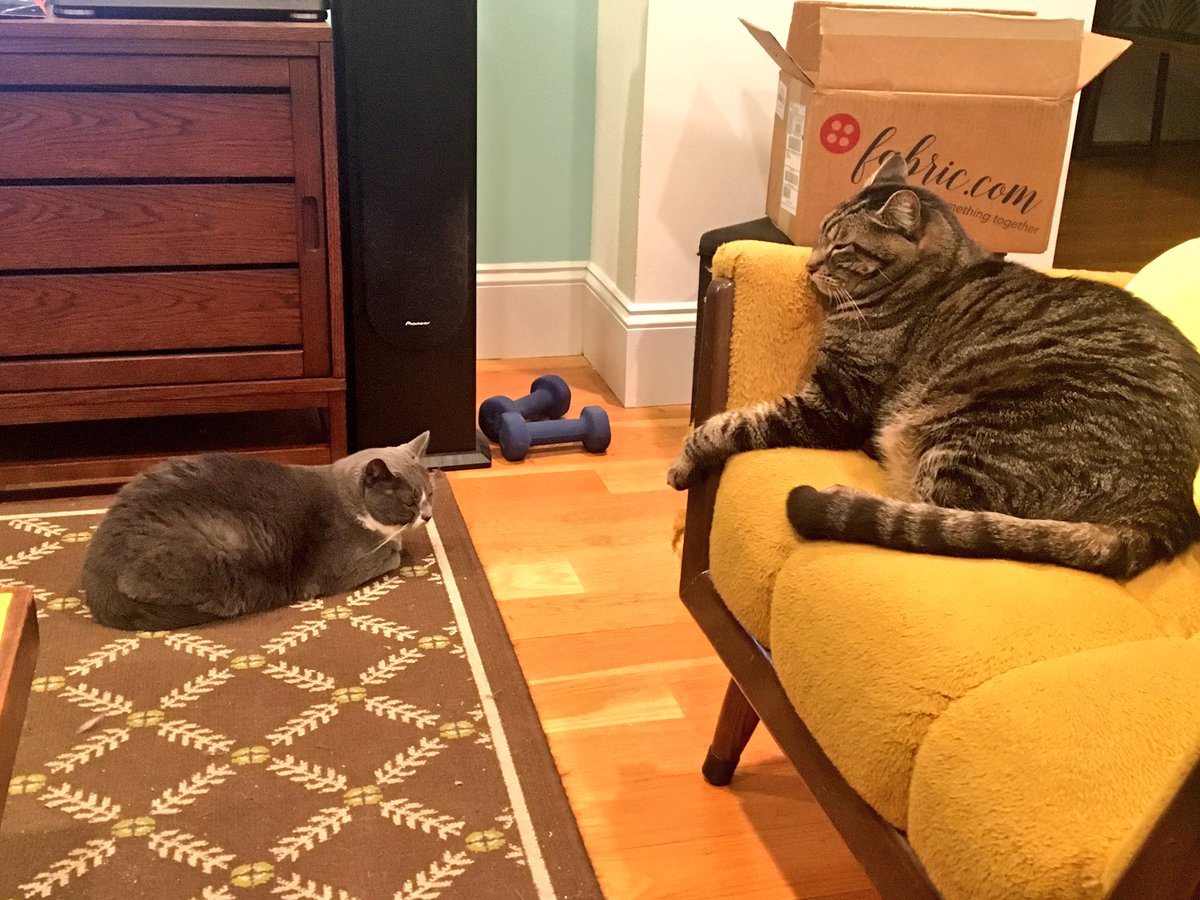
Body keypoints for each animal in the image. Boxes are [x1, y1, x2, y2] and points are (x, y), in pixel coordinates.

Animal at [83, 433, 434, 630]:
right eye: (409, 502)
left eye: (431, 494)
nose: (428, 516)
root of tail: (96, 571)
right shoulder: (346, 565)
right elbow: (393, 554)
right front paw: (397, 547)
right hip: (216, 544)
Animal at [669, 155, 1200, 579]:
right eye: (818, 235)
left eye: (841, 247)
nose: (810, 266)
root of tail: (1166, 506)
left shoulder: (833, 406)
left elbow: (728, 423)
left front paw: (684, 461)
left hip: (973, 430)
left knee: (932, 522)